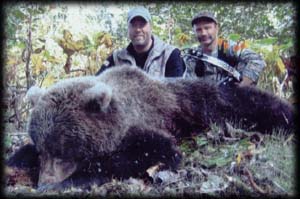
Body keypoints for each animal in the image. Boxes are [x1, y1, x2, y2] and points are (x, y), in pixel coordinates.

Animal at [5, 65, 294, 191]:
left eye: (64, 152)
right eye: (43, 149)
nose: (44, 182)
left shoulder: (144, 122)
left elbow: (156, 152)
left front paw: (70, 181)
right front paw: (18, 160)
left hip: (209, 101)